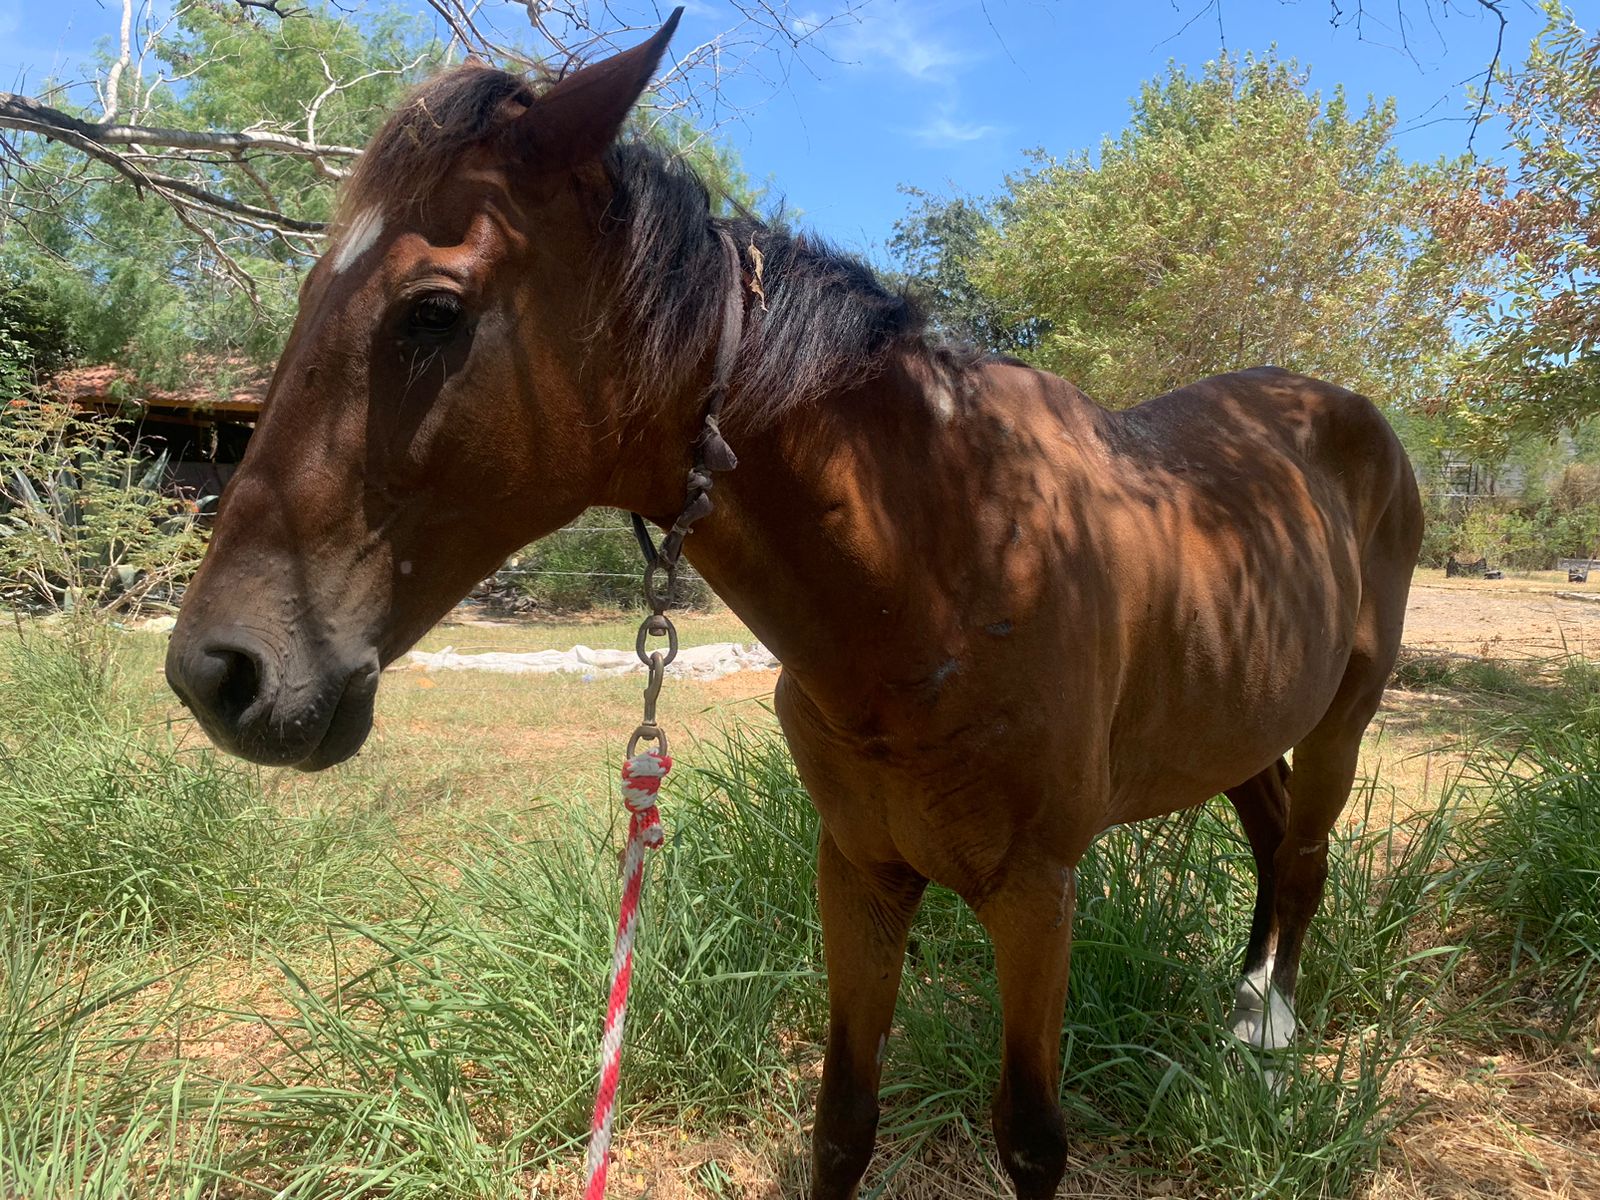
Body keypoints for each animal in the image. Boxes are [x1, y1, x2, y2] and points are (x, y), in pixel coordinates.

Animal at [168, 14, 1427, 1196]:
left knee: (1303, 857)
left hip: (1343, 718)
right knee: (1267, 832)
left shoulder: (1036, 896)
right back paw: (1245, 1006)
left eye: (432, 310)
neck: (949, 572)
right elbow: (841, 1124)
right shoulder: (858, 872)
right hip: (1235, 719)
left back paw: (1270, 1042)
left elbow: (1029, 1139)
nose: (216, 672)